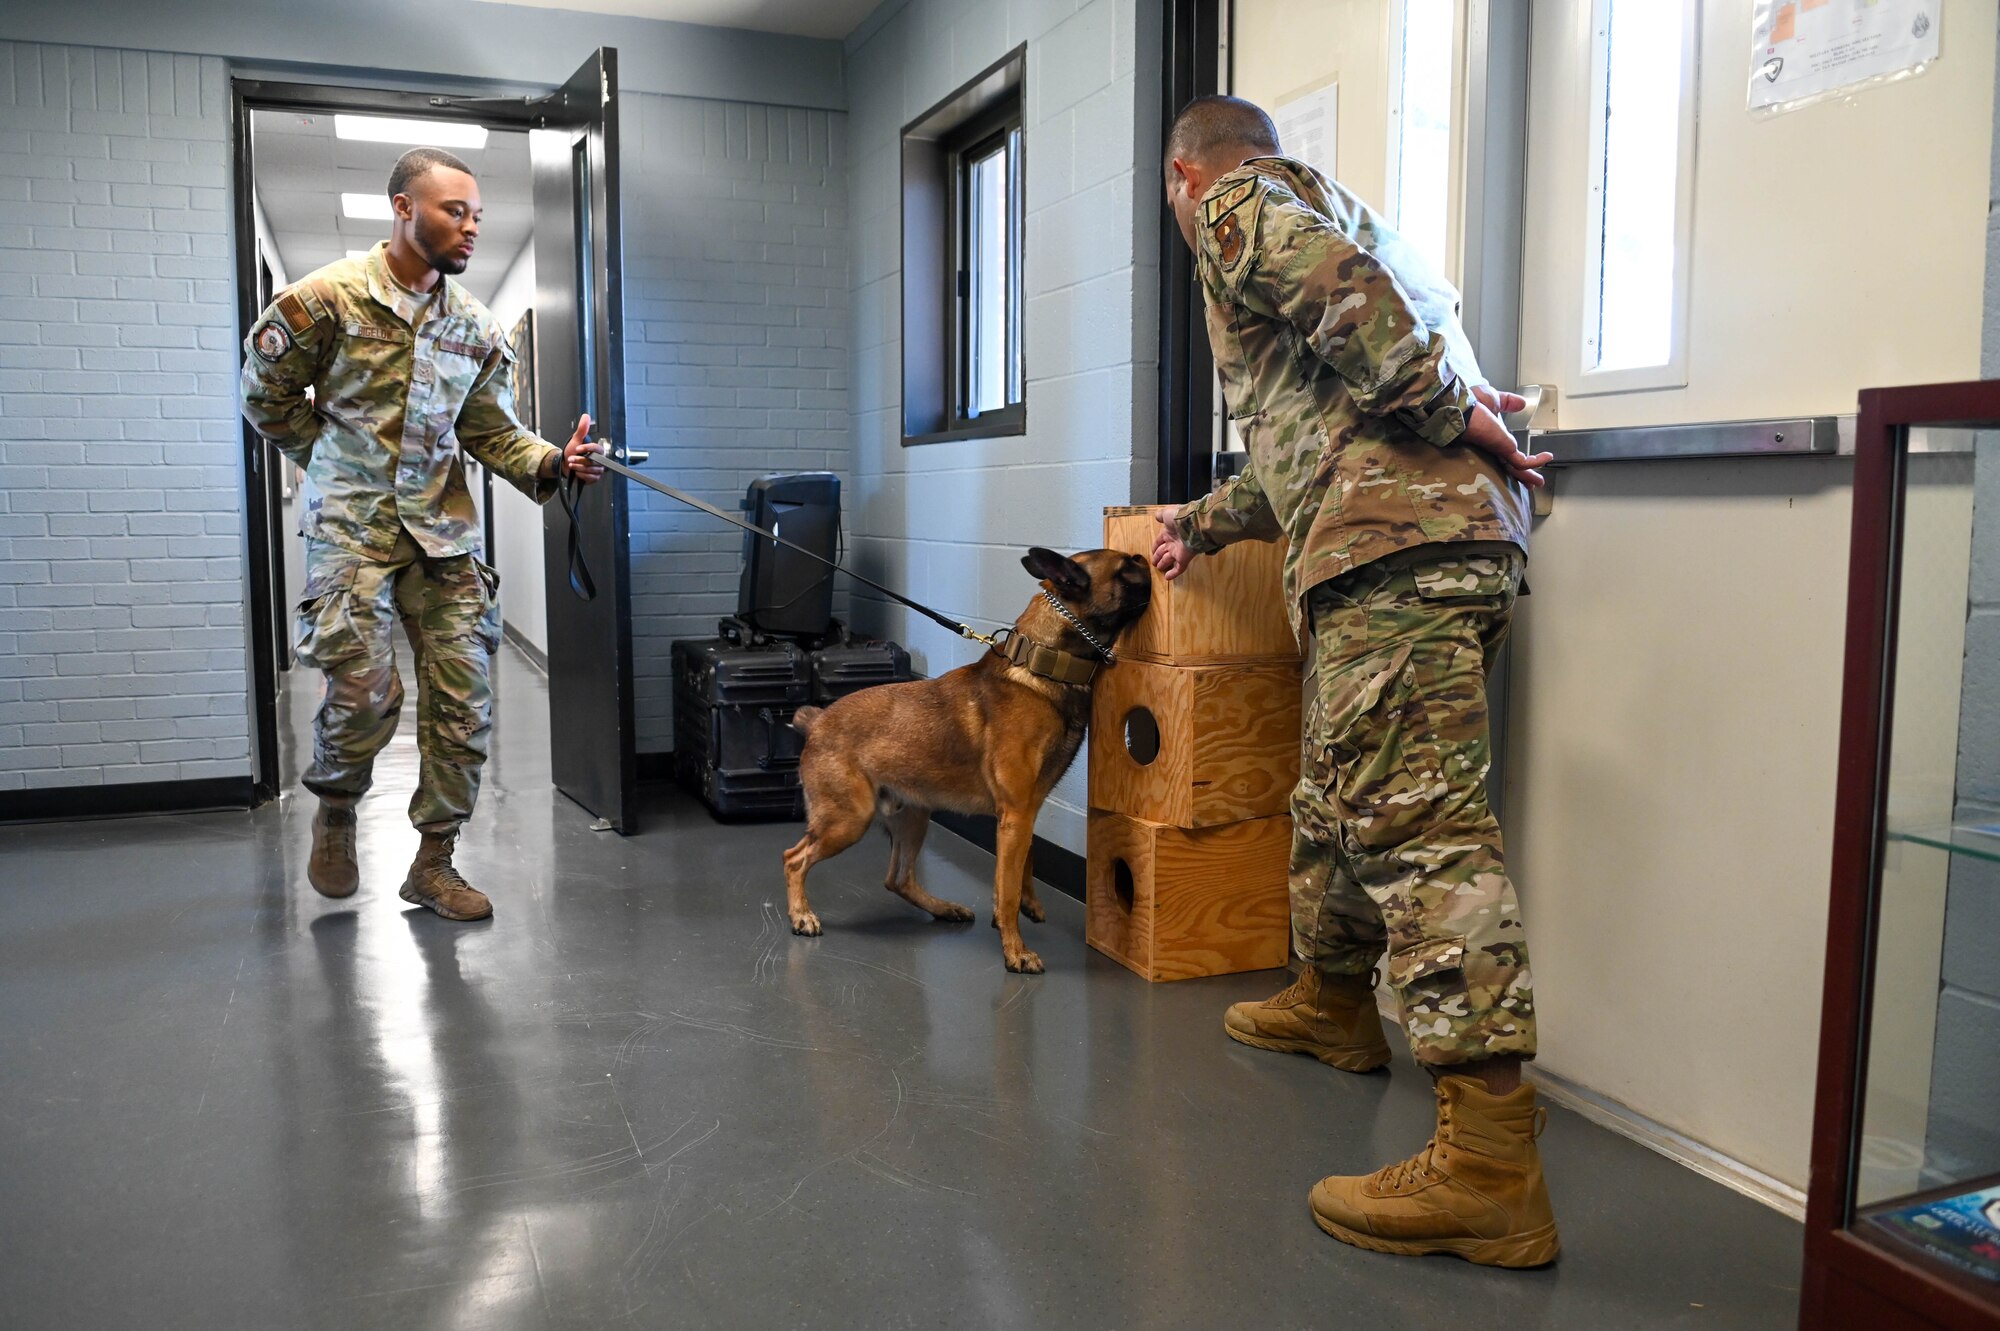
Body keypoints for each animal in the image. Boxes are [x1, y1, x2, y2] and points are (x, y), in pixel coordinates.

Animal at [784, 543, 1160, 971]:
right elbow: (1008, 886)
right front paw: (1015, 949)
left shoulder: (1024, 812)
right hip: (848, 820)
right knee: (794, 858)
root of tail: (817, 722)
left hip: (913, 817)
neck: (1043, 662)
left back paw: (944, 908)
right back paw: (801, 914)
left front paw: (1021, 907)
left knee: (898, 879)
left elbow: (1022, 866)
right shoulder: (1016, 811)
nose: (1155, 559)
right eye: (1129, 564)